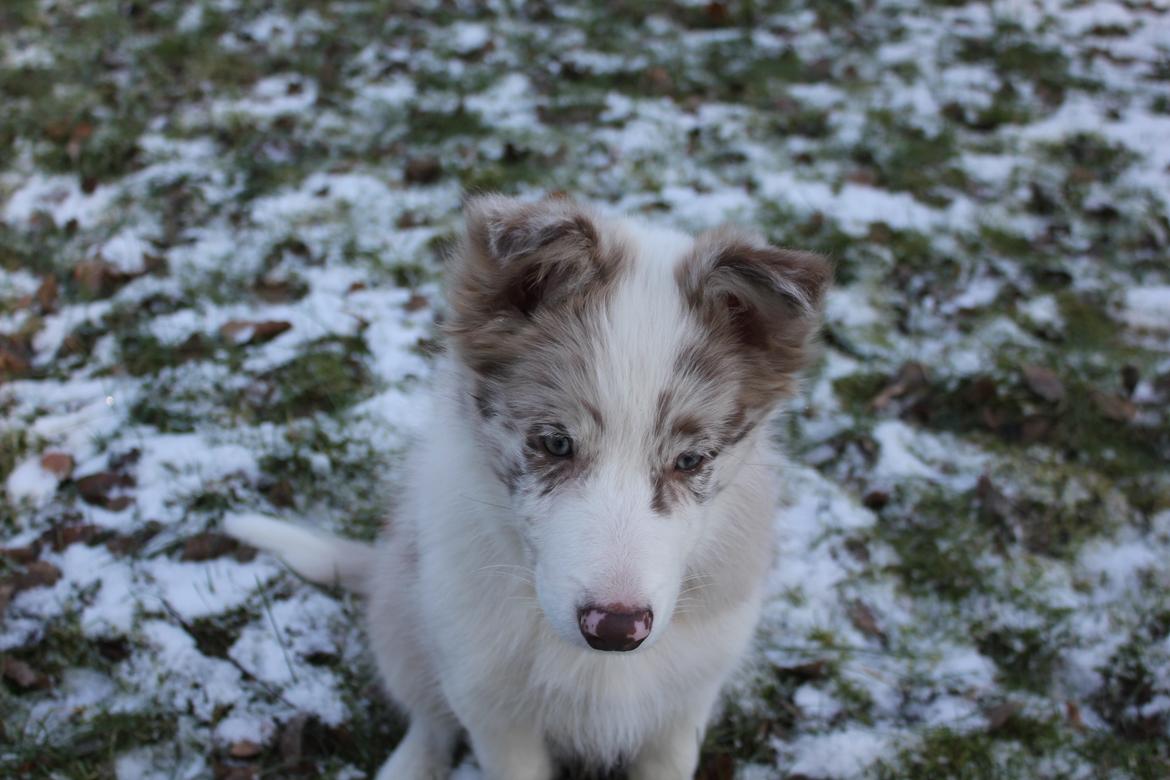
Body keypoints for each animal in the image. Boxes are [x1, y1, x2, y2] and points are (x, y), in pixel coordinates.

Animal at [225, 191, 833, 776]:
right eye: (556, 444)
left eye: (690, 460)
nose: (616, 630)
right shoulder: (491, 704)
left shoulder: (684, 705)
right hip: (407, 612)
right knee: (428, 713)